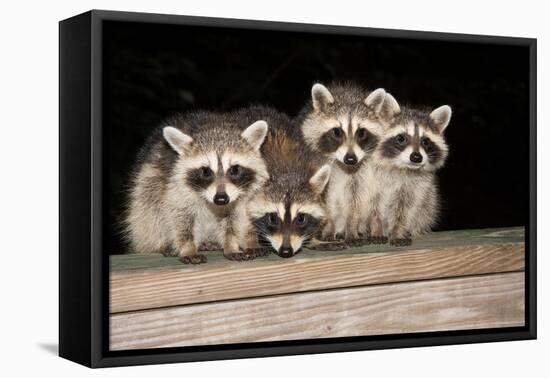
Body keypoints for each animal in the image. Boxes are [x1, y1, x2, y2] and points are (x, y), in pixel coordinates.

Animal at [125, 110, 272, 262]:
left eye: (235, 169)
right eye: (206, 171)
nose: (221, 199)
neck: (215, 127)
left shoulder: (240, 198)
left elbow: (235, 221)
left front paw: (231, 244)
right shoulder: (175, 187)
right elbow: (179, 217)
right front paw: (187, 247)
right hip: (146, 185)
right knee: (150, 212)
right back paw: (161, 244)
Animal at [300, 81, 398, 244]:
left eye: (361, 132)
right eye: (337, 132)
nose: (351, 159)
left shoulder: (360, 175)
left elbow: (355, 202)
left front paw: (351, 228)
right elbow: (326, 202)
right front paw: (329, 228)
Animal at [366, 95, 452, 245]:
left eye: (425, 141)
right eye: (401, 138)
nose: (416, 157)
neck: (401, 167)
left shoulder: (415, 187)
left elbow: (406, 209)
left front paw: (398, 230)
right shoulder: (370, 177)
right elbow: (373, 206)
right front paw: (376, 227)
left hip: (428, 203)